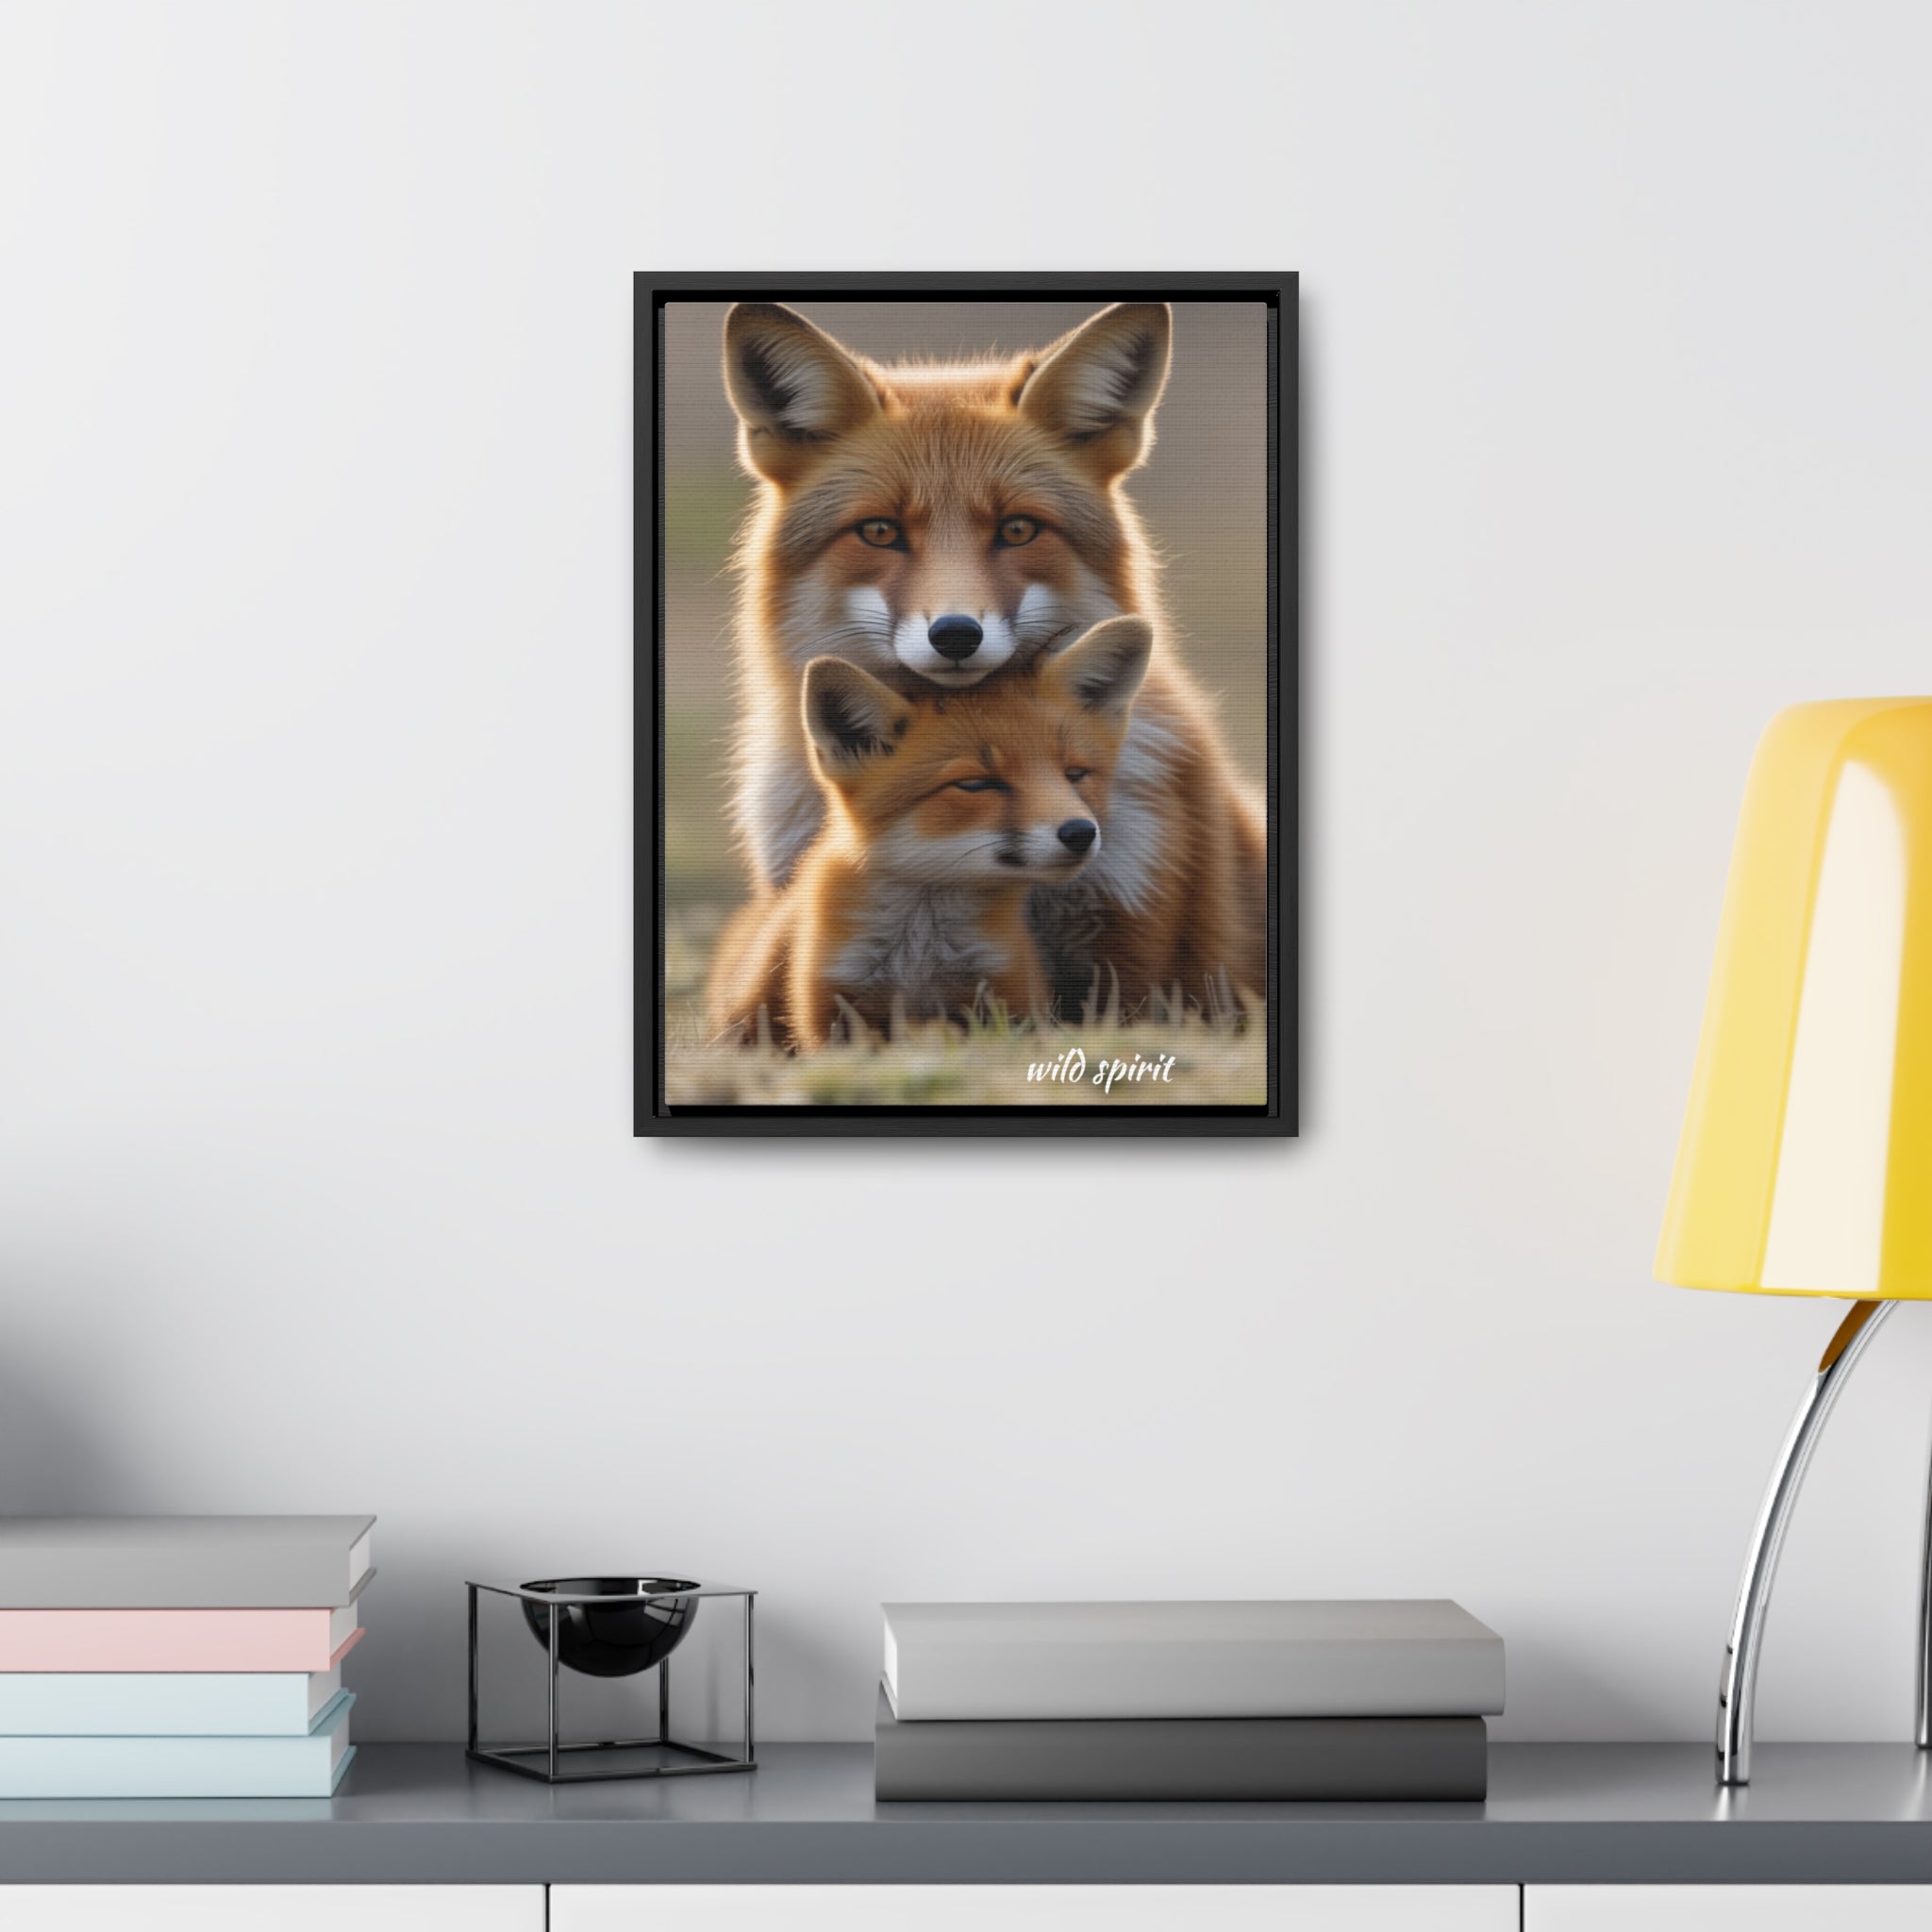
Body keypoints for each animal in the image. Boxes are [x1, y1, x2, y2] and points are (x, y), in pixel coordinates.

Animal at [707, 617, 1153, 1051]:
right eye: (975, 784)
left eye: (1075, 774)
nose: (1080, 833)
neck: (920, 952)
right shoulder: (833, 1007)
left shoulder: (1008, 996)